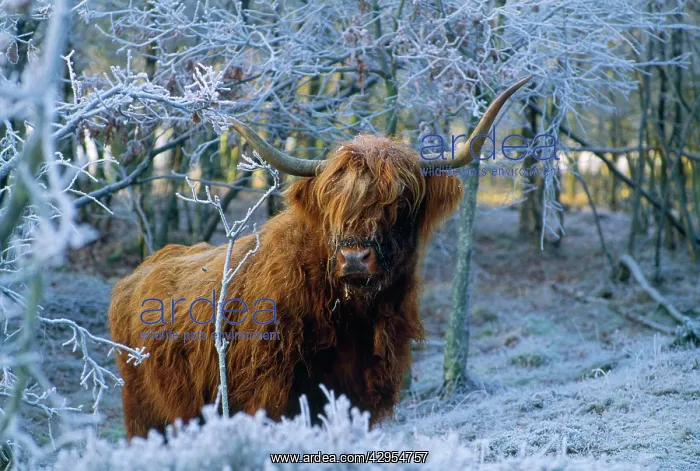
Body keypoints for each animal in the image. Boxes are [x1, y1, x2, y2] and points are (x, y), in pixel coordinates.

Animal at [108, 77, 530, 438]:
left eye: (400, 203)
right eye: (333, 204)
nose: (355, 258)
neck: (352, 319)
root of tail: (136, 275)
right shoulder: (268, 398)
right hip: (145, 415)